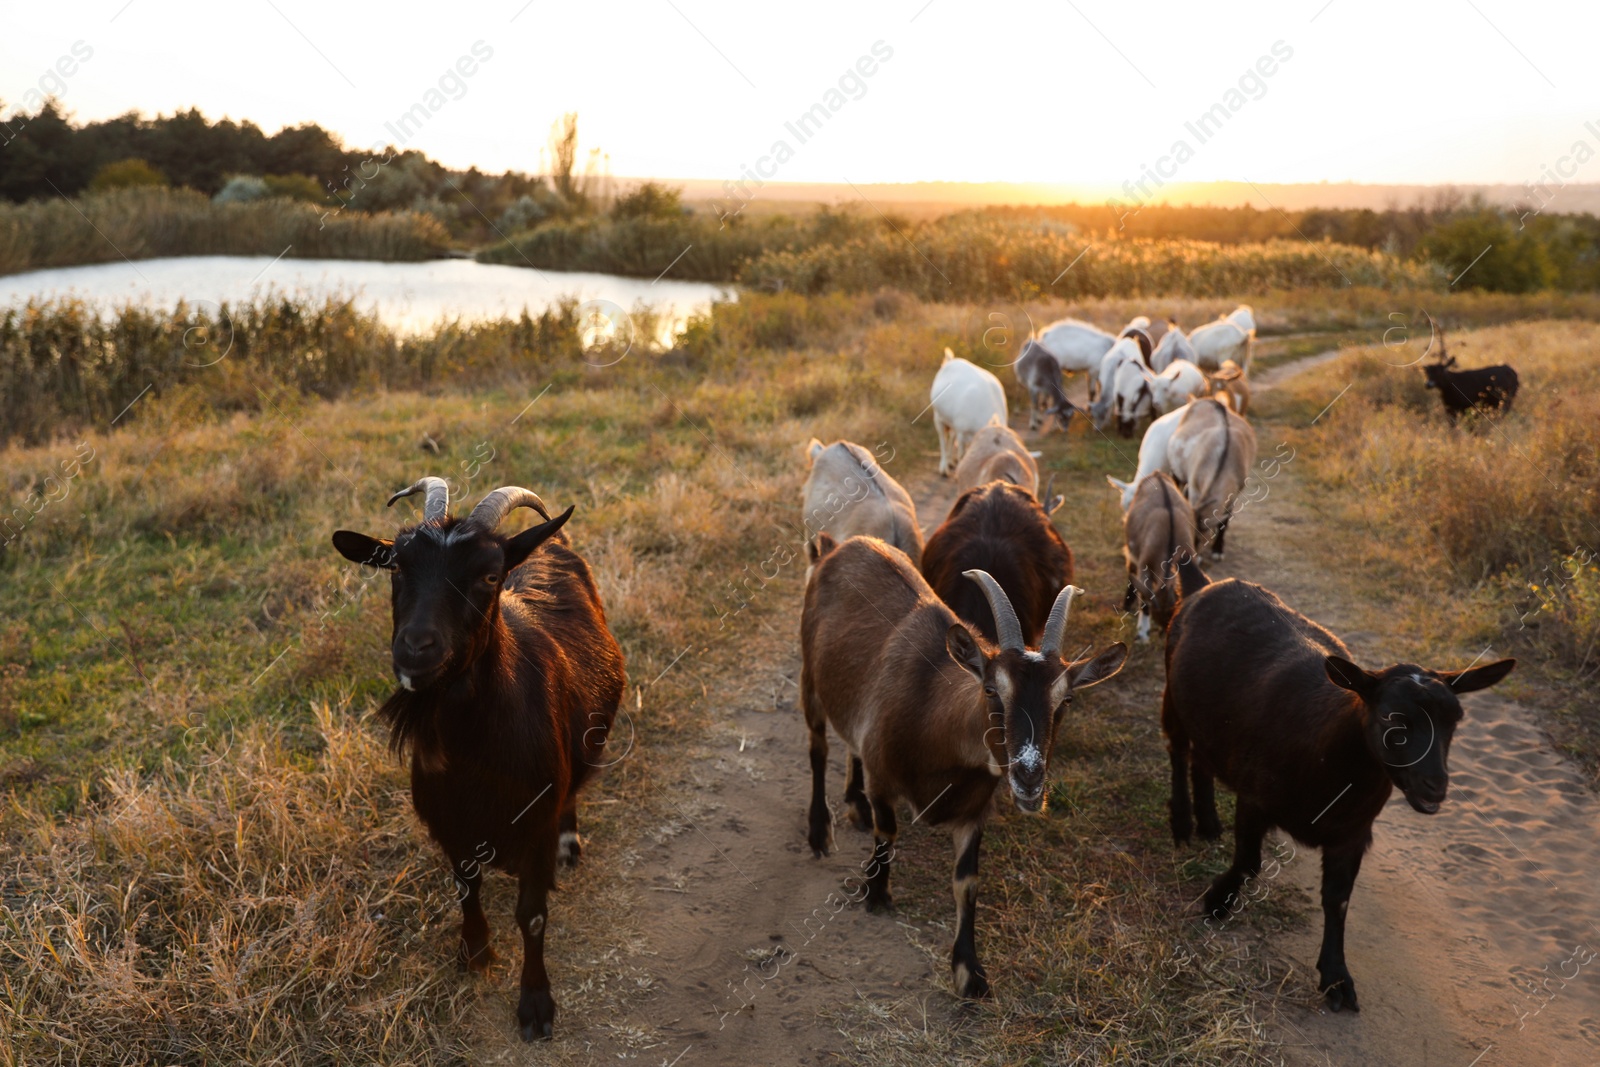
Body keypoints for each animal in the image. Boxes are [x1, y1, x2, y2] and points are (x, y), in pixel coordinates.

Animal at [331, 476, 624, 1043]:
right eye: (396, 567)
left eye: (489, 575)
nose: (416, 647)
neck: (476, 751)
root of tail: (543, 544)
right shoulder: (449, 820)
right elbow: (466, 888)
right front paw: (476, 952)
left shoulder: (535, 820)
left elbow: (533, 915)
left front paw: (536, 1005)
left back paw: (569, 845)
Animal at [800, 537, 1126, 998]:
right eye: (990, 689)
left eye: (1065, 700)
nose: (1029, 777)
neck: (930, 719)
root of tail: (839, 546)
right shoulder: (883, 777)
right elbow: (888, 833)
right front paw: (876, 894)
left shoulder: (974, 810)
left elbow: (967, 882)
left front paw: (969, 972)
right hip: (810, 677)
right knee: (817, 747)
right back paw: (819, 831)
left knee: (849, 744)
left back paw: (854, 805)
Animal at [1164, 559, 1510, 1017]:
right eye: (1390, 718)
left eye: (1455, 719)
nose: (1435, 787)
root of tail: (1204, 582)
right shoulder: (1254, 800)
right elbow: (1250, 862)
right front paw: (1218, 901)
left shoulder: (1352, 834)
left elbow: (1338, 900)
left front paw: (1336, 978)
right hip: (1171, 693)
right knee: (1177, 750)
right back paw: (1183, 822)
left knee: (1201, 758)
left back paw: (1207, 823)